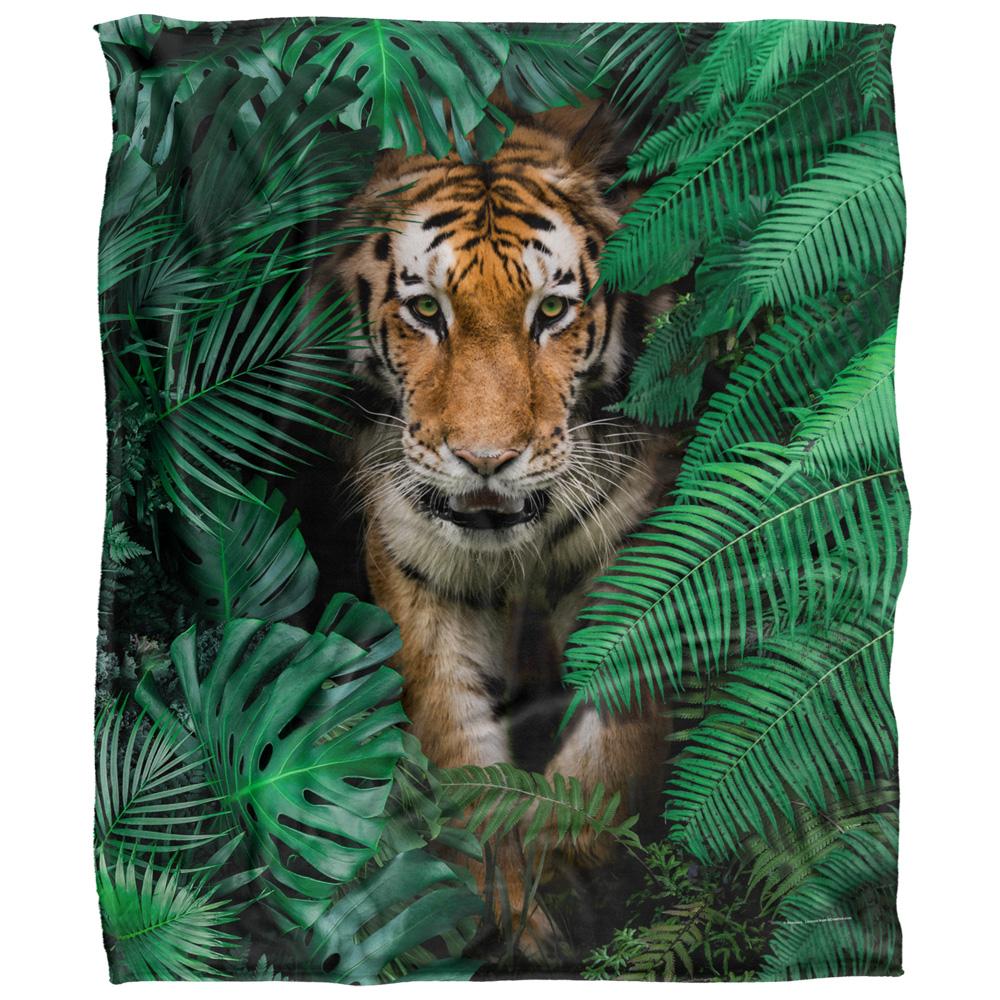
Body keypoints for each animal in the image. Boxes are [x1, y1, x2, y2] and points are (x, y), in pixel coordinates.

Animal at [312, 98, 679, 955]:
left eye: (551, 311)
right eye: (426, 310)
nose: (485, 460)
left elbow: (618, 741)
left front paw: (568, 875)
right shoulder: (422, 579)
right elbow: (455, 747)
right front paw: (497, 899)